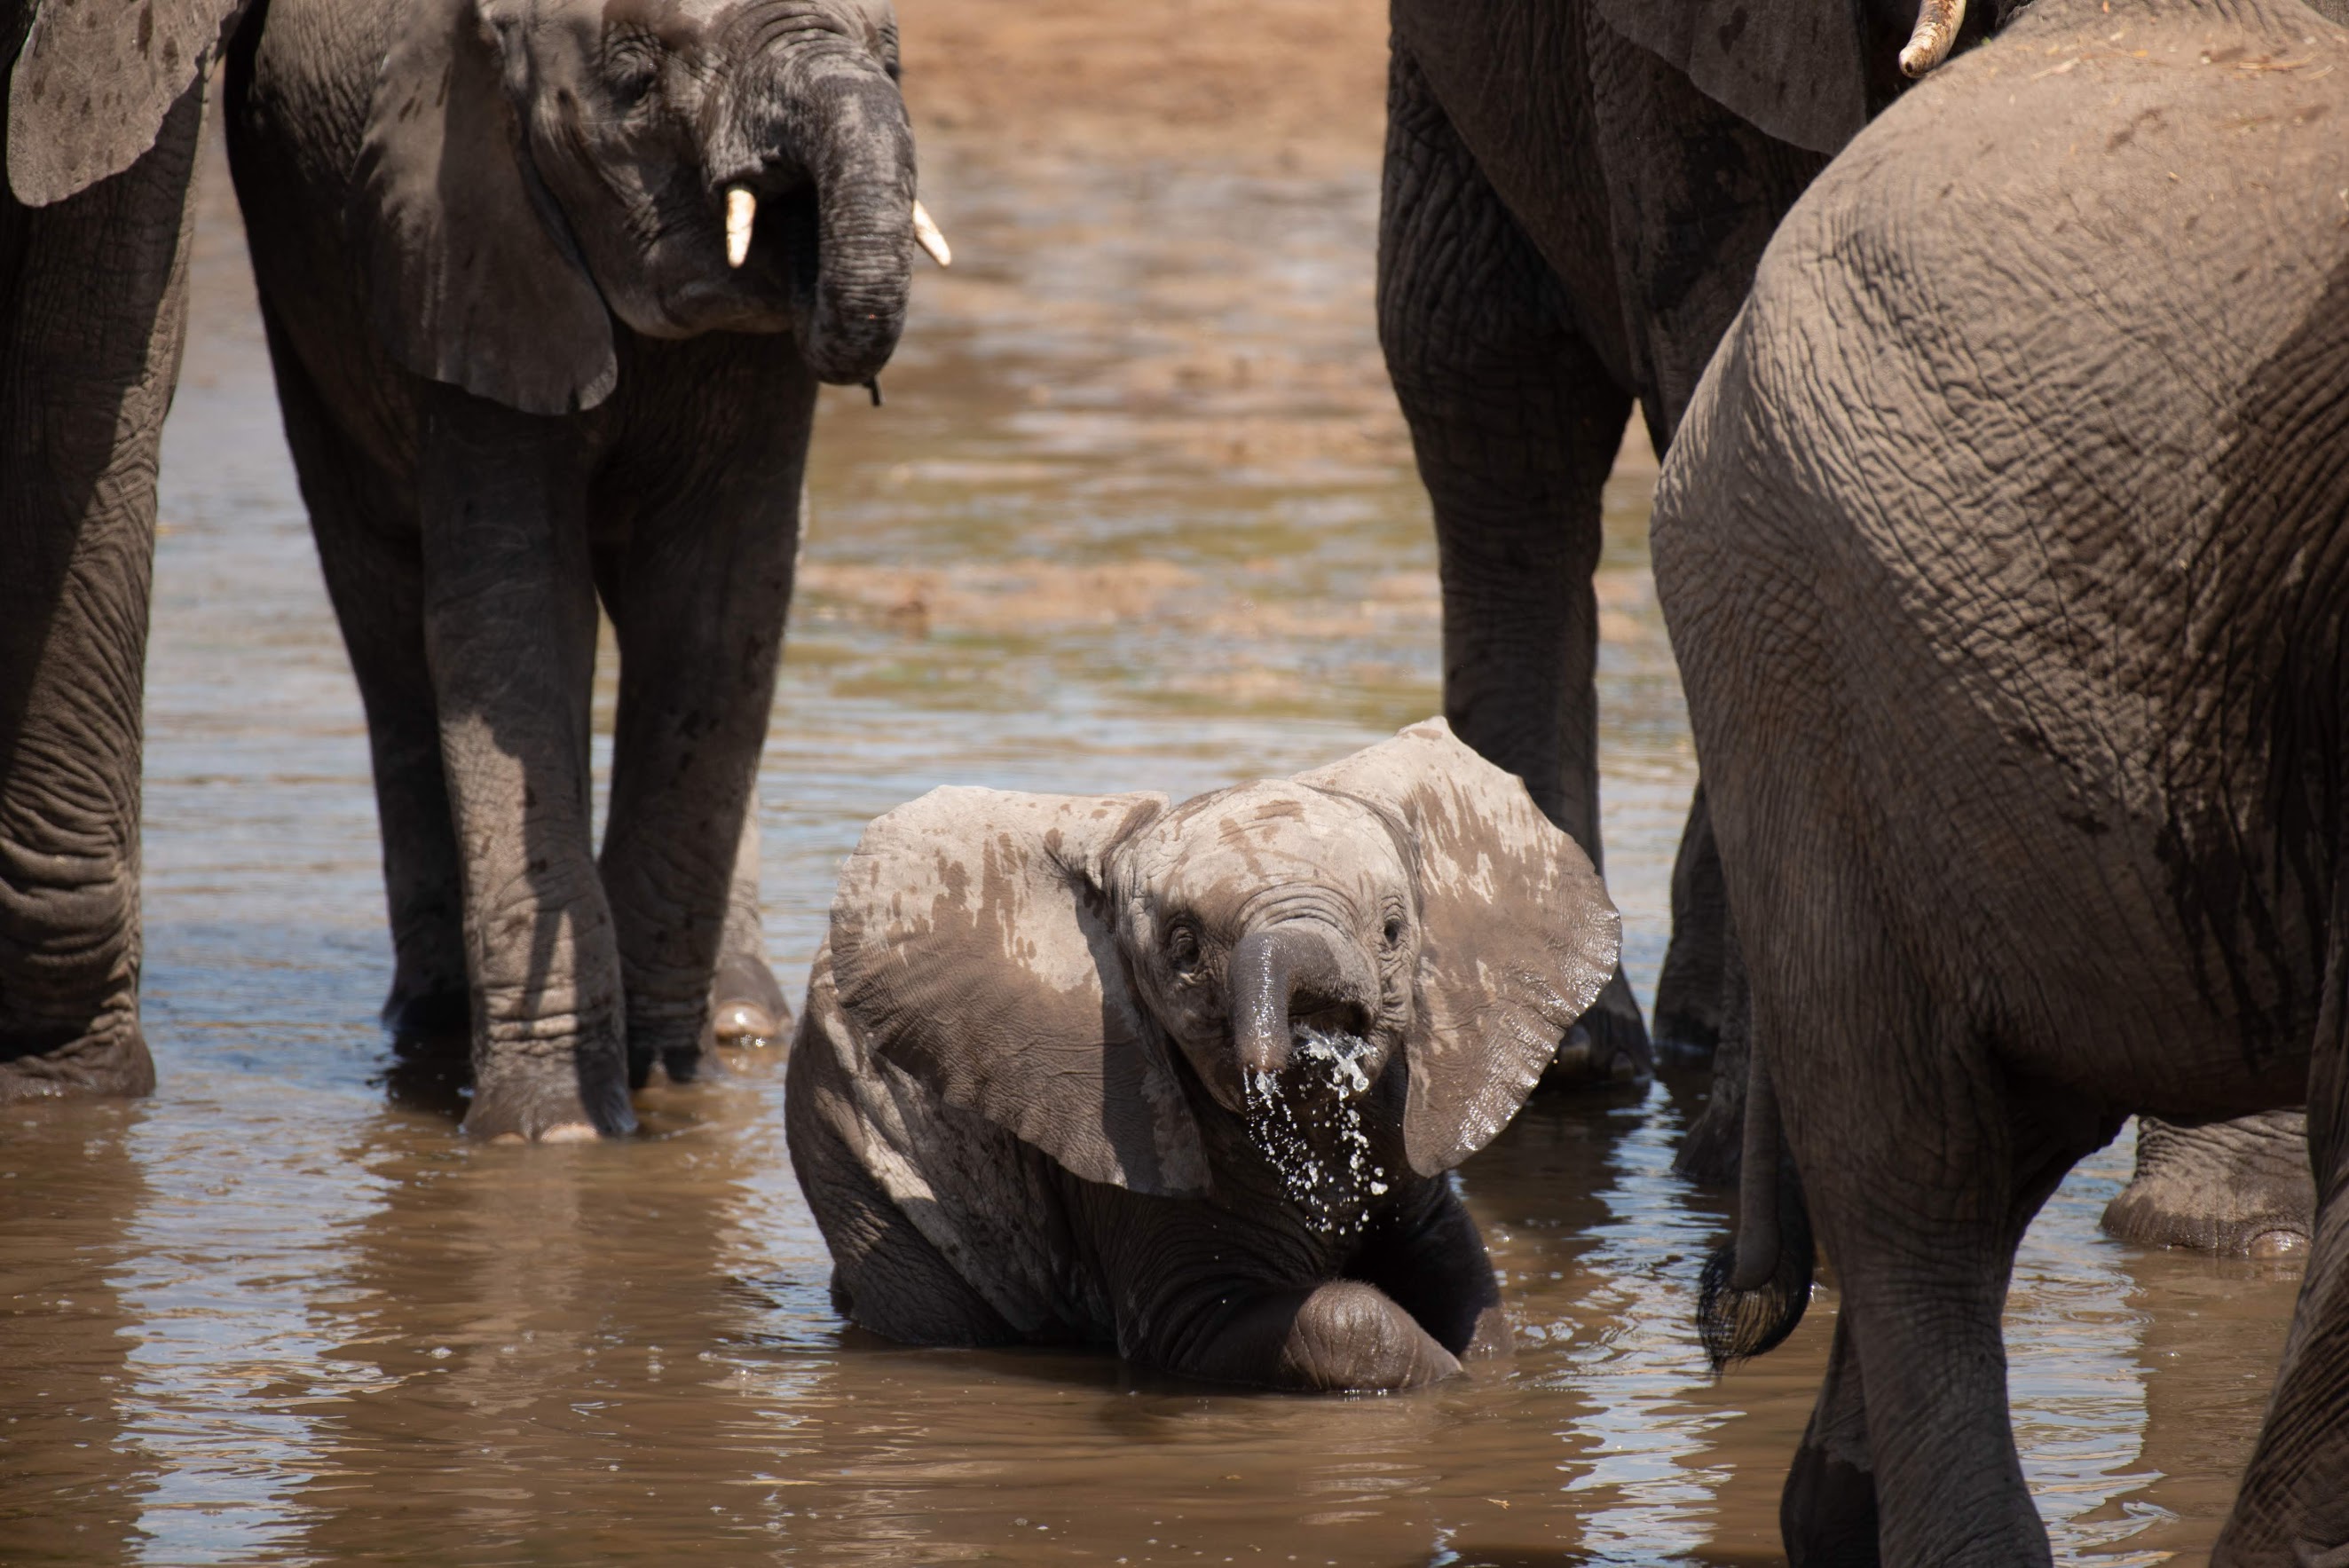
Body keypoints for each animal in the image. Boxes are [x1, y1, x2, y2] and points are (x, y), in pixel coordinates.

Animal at [222, 0, 938, 1139]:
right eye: (636, 80)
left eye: (894, 58)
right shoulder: (466, 246)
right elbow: (514, 623)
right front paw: (554, 1136)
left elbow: (721, 611)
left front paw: (667, 1081)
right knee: (382, 615)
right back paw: (433, 1030)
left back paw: (739, 1029)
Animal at [784, 720, 1621, 1392]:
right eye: (1182, 950)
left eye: (1391, 931)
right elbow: (1319, 1319)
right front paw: (1454, 1385)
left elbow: (1463, 1281)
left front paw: (1489, 1374)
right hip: (852, 1146)